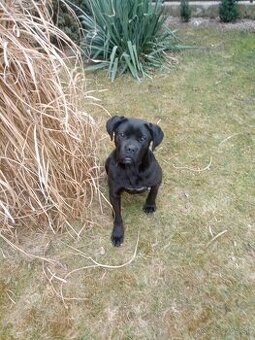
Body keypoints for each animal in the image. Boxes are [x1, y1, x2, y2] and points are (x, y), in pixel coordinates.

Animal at [105, 115, 163, 246]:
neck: (132, 169)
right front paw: (117, 233)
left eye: (142, 138)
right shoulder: (114, 193)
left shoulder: (157, 180)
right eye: (122, 134)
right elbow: (118, 217)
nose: (131, 148)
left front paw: (149, 206)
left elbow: (153, 192)